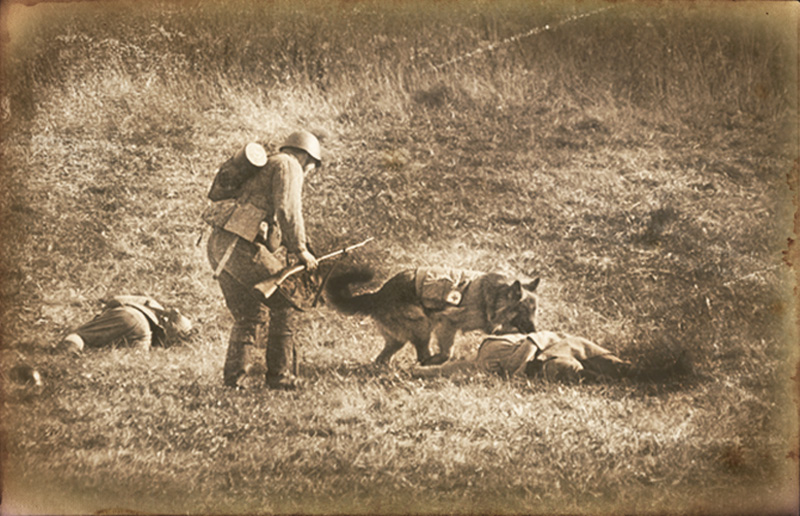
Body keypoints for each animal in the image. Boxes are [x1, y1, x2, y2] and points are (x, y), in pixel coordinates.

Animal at [324, 268, 536, 364]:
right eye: (524, 312)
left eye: (535, 312)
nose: (535, 331)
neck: (493, 295)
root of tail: (378, 294)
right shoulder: (447, 323)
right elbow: (447, 350)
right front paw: (442, 358)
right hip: (422, 327)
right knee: (422, 355)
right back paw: (428, 363)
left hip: (399, 339)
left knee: (383, 358)